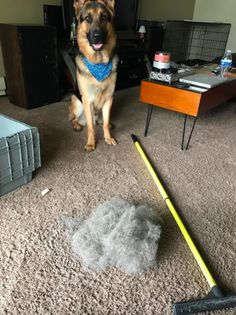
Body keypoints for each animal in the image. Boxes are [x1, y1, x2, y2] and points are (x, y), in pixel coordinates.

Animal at [69, 0, 118, 152]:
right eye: (87, 19)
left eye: (104, 18)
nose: (97, 36)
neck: (98, 63)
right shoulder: (87, 100)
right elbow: (90, 127)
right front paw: (91, 143)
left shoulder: (109, 99)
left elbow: (105, 123)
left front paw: (108, 138)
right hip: (76, 102)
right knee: (73, 119)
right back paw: (77, 125)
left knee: (101, 121)